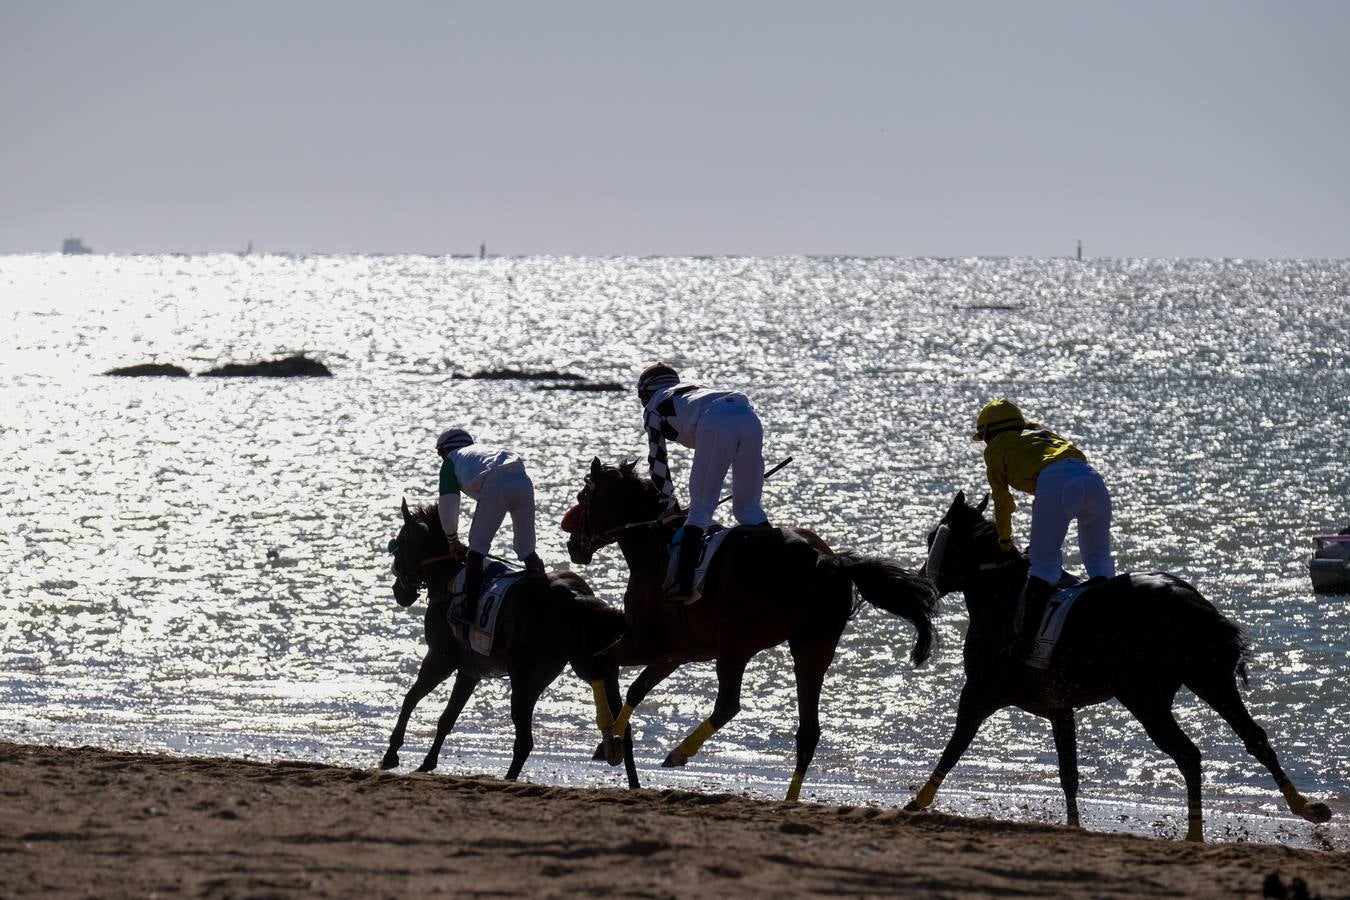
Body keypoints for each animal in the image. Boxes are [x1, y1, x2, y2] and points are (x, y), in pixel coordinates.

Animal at [380, 499, 637, 788]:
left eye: (400, 543)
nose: (398, 591)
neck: (449, 580)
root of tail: (575, 598)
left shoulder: (440, 658)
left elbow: (411, 698)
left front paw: (391, 753)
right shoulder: (469, 670)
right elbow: (447, 717)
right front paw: (427, 762)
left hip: (525, 676)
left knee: (525, 739)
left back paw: (509, 779)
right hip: (591, 665)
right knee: (624, 729)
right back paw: (634, 785)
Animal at [561, 458, 939, 804]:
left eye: (583, 496)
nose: (572, 545)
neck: (654, 546)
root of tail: (825, 560)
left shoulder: (644, 643)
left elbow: (601, 663)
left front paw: (610, 739)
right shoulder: (674, 654)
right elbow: (637, 690)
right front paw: (614, 738)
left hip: (736, 647)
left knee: (729, 703)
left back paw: (680, 751)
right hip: (812, 646)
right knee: (808, 731)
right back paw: (789, 799)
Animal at [907, 488, 1328, 841]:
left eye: (932, 538)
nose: (920, 582)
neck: (1003, 595)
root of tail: (1190, 601)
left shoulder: (980, 691)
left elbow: (954, 746)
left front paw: (917, 801)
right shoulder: (1059, 708)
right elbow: (1069, 772)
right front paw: (1074, 825)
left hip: (1145, 697)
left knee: (1189, 754)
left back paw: (1194, 834)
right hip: (1209, 679)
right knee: (1254, 737)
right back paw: (1305, 807)